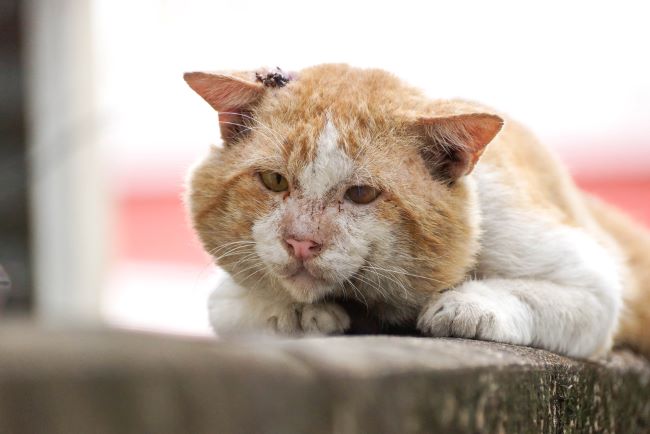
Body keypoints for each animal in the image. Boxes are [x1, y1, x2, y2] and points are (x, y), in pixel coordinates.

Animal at [181, 63, 648, 356]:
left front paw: (464, 305)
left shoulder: (594, 287)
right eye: (274, 181)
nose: (301, 243)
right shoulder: (226, 295)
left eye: (361, 194)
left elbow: (544, 294)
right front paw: (294, 311)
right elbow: (235, 305)